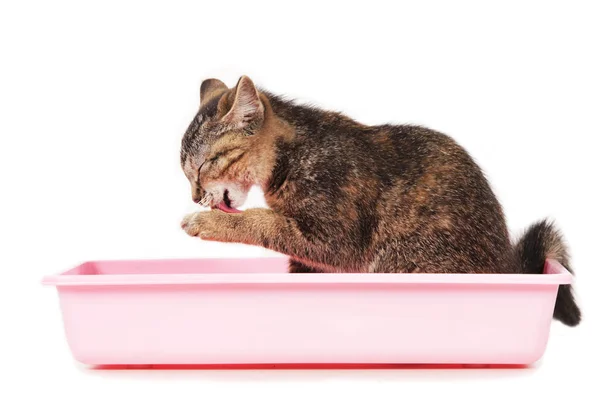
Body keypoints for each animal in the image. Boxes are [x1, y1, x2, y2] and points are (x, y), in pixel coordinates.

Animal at [179, 76, 580, 326]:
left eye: (202, 165)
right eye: (187, 173)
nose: (196, 197)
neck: (288, 157)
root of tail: (505, 267)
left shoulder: (334, 240)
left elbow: (260, 220)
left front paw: (208, 223)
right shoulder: (312, 257)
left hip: (403, 257)